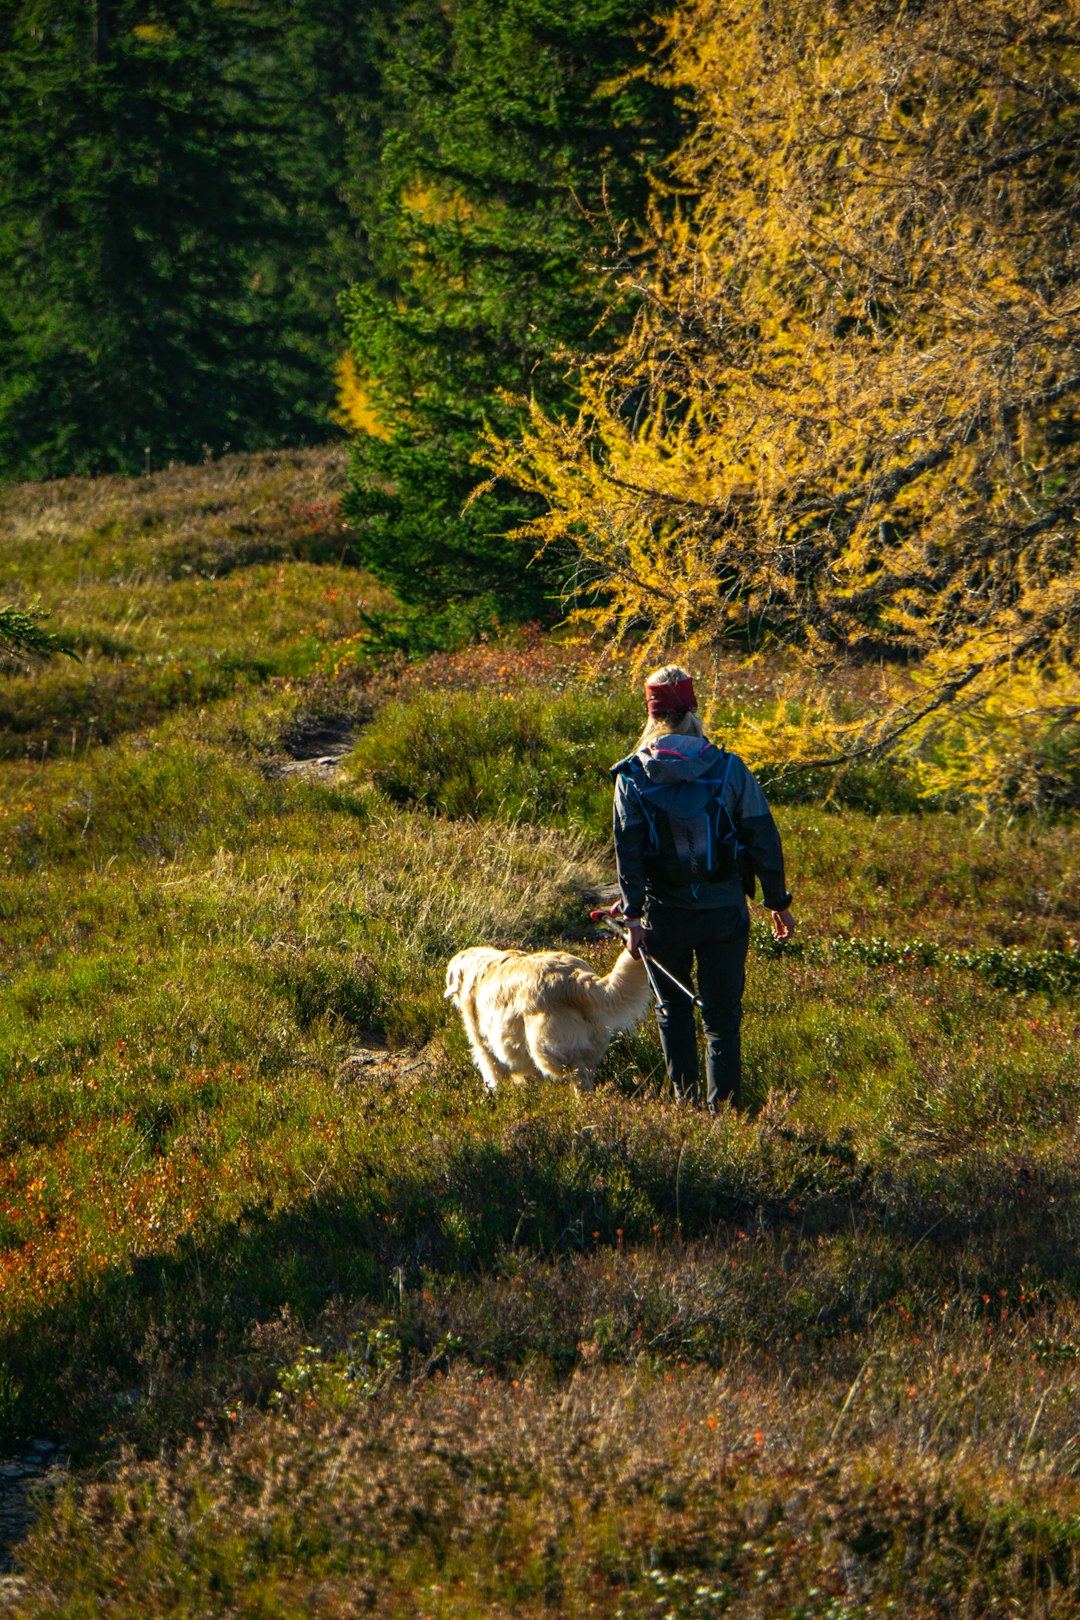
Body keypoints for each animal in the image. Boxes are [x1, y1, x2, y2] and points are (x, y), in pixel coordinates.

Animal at [446, 946, 650, 1095]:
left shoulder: (483, 1043)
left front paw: (495, 1093)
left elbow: (492, 1069)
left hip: (546, 1044)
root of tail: (576, 980)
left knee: (575, 1071)